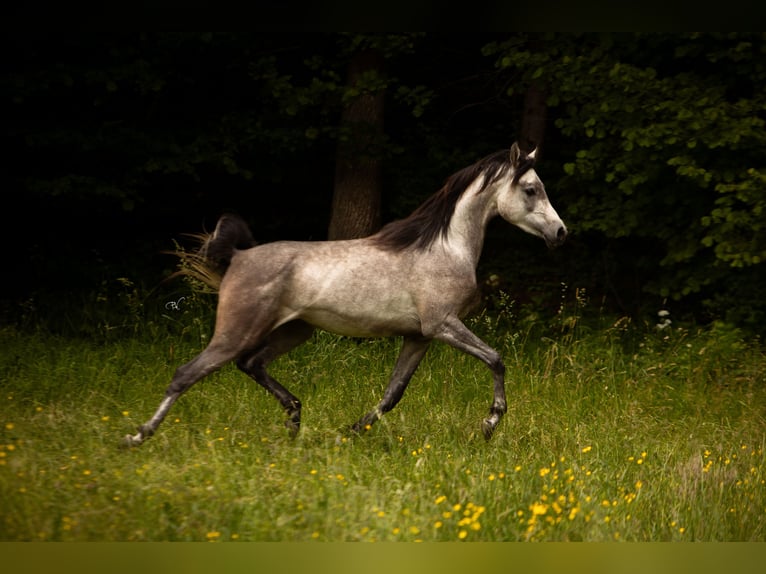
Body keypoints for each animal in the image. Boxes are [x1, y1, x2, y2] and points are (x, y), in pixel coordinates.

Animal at [124, 142, 567, 447]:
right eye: (531, 189)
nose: (561, 233)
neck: (445, 247)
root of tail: (237, 256)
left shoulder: (419, 337)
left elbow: (392, 394)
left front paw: (348, 432)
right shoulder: (443, 325)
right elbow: (496, 359)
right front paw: (490, 424)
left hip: (294, 331)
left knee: (251, 365)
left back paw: (295, 419)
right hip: (236, 331)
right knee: (186, 374)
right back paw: (137, 437)